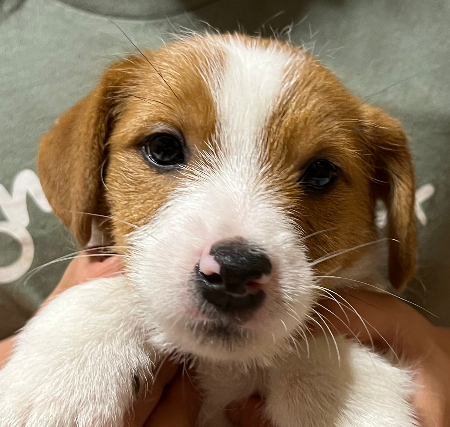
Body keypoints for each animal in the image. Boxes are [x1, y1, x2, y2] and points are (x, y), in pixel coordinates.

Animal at [0, 33, 418, 426]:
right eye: (163, 147)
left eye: (320, 172)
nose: (236, 270)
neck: (222, 367)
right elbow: (122, 287)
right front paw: (63, 368)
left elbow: (312, 343)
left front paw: (339, 396)